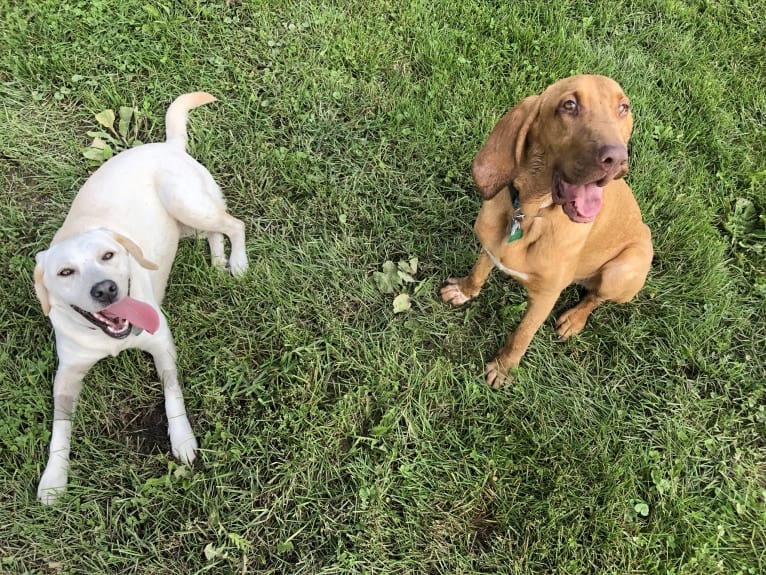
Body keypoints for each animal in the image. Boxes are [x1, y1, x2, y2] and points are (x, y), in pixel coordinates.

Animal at [33, 92, 249, 506]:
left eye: (108, 255)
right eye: (65, 273)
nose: (105, 289)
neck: (109, 339)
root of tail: (167, 145)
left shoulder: (162, 343)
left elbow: (172, 395)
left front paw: (183, 442)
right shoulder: (66, 375)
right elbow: (59, 428)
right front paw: (53, 479)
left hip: (183, 201)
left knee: (234, 224)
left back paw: (238, 263)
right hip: (186, 226)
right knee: (215, 233)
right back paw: (218, 263)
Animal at [444, 73, 656, 388]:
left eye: (623, 108)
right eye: (569, 105)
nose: (617, 159)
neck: (530, 212)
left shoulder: (545, 297)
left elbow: (521, 335)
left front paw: (503, 369)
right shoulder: (491, 246)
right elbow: (478, 272)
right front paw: (464, 290)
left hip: (622, 270)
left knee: (596, 297)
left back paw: (574, 319)